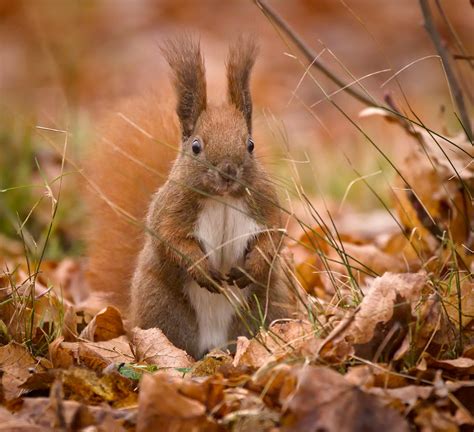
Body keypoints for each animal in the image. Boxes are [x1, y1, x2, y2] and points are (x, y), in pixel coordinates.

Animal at [86, 36, 290, 358]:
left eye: (250, 144)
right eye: (196, 146)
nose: (228, 171)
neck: (222, 198)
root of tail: (213, 345)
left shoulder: (265, 204)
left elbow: (273, 236)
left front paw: (254, 266)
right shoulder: (170, 211)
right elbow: (172, 240)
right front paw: (202, 270)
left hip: (267, 308)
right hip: (161, 308)